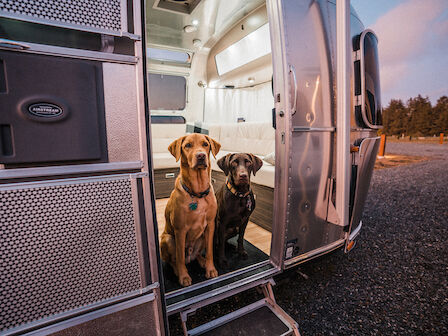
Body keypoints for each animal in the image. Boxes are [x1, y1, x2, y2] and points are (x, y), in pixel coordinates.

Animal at [161, 133, 220, 286]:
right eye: (187, 145)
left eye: (205, 144)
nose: (201, 156)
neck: (197, 193)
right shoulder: (180, 230)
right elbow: (180, 257)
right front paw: (184, 276)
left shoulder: (210, 225)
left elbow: (210, 251)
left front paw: (210, 269)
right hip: (168, 239)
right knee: (174, 260)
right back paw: (177, 270)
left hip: (201, 237)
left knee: (197, 254)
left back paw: (202, 261)